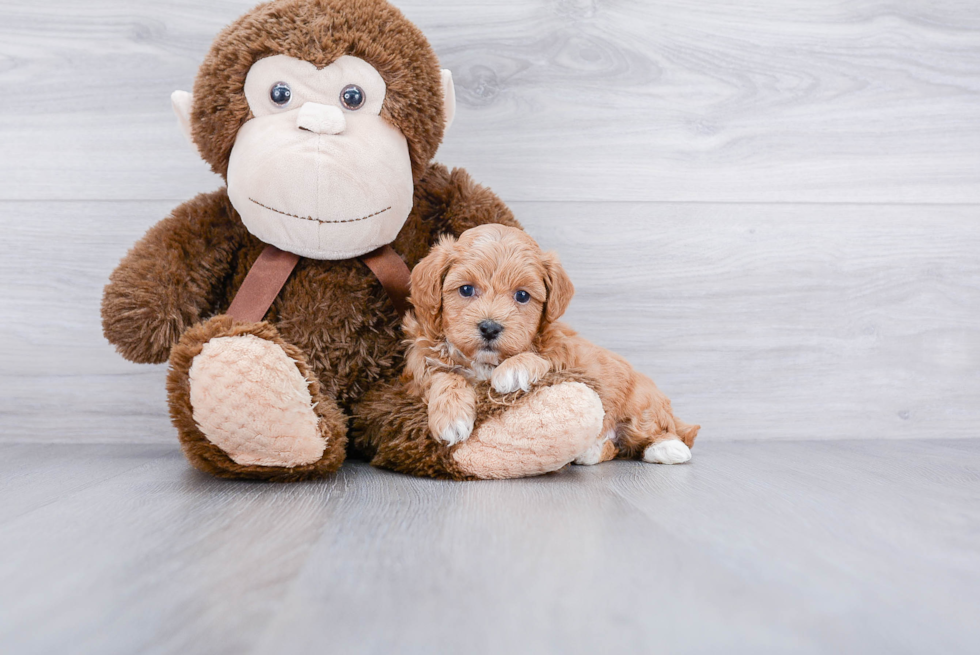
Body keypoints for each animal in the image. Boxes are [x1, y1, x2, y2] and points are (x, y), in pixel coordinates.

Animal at [400, 226, 696, 466]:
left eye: (522, 295)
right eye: (465, 290)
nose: (490, 327)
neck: (484, 362)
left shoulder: (562, 356)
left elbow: (540, 358)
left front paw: (513, 370)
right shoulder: (419, 366)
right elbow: (445, 376)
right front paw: (451, 418)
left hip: (641, 404)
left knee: (657, 431)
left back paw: (668, 448)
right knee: (614, 447)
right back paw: (590, 451)